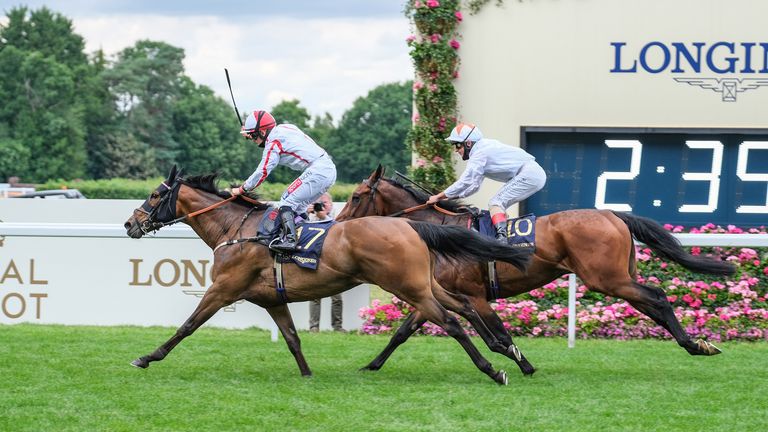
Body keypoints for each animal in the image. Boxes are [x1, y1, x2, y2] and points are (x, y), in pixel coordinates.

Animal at [126, 166, 536, 384]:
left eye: (154, 195)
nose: (130, 223)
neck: (237, 229)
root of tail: (410, 225)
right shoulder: (271, 299)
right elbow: (292, 338)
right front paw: (307, 374)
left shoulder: (223, 288)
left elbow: (187, 326)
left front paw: (146, 357)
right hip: (426, 283)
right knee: (464, 305)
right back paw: (509, 350)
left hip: (407, 286)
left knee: (450, 322)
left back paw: (494, 370)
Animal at [338, 165, 736, 374]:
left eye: (356, 197)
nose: (337, 224)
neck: (439, 231)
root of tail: (613, 214)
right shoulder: (433, 293)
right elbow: (402, 333)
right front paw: (371, 365)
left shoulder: (474, 296)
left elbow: (499, 336)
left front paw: (521, 364)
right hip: (619, 277)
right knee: (651, 303)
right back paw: (696, 344)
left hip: (607, 278)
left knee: (657, 296)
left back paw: (695, 345)